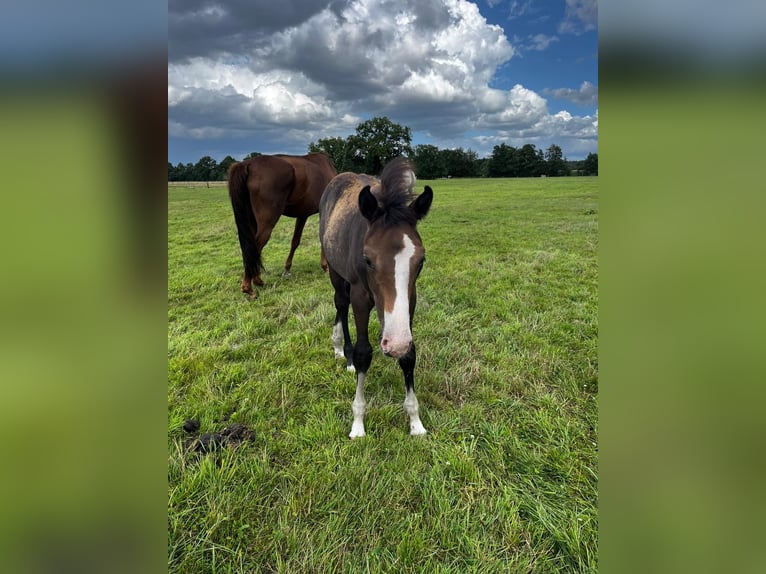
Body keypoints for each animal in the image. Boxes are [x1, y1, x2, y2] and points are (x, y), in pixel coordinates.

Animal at [227, 152, 337, 297]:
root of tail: (247, 164)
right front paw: (325, 267)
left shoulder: (302, 215)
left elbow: (295, 241)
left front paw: (287, 268)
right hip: (267, 223)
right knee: (255, 247)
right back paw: (248, 286)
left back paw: (256, 280)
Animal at [319, 157, 433, 438]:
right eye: (368, 259)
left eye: (421, 260)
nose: (394, 344)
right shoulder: (360, 296)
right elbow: (364, 354)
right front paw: (358, 423)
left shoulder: (410, 299)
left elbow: (409, 356)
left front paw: (415, 422)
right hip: (336, 271)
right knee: (340, 302)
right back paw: (344, 352)